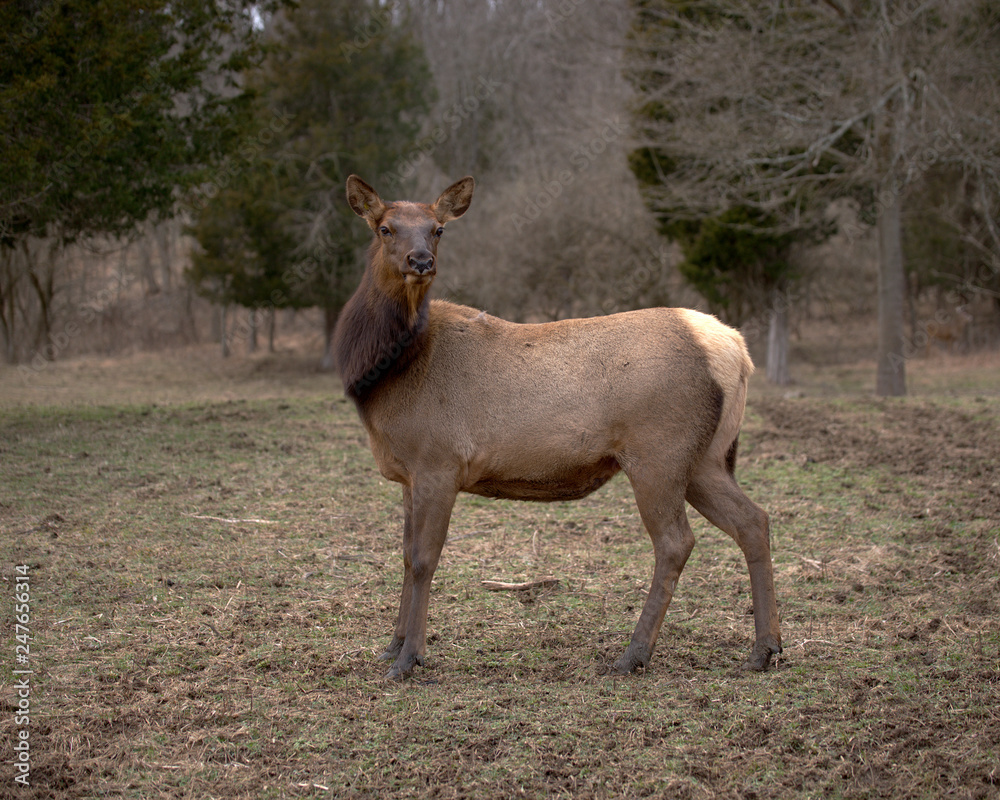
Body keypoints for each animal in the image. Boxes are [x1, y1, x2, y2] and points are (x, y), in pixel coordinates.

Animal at [333, 175, 782, 681]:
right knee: (754, 520)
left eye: (438, 229)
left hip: (659, 453)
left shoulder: (438, 463)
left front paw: (409, 658)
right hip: (706, 458)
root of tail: (735, 350)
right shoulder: (408, 475)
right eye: (385, 228)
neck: (384, 379)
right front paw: (390, 646)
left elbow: (426, 560)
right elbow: (406, 557)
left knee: (675, 542)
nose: (421, 261)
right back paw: (765, 648)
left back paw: (633, 653)